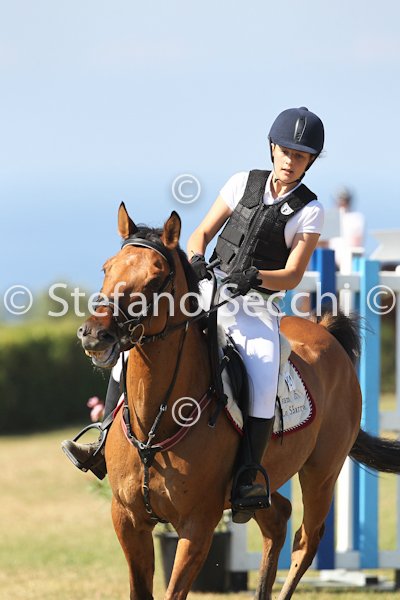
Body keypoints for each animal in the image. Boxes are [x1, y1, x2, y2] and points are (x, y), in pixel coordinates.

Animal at [78, 202, 400, 599]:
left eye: (155, 279)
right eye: (107, 268)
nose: (95, 334)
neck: (156, 422)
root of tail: (325, 333)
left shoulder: (198, 525)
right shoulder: (127, 519)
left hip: (322, 472)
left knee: (306, 540)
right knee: (278, 518)